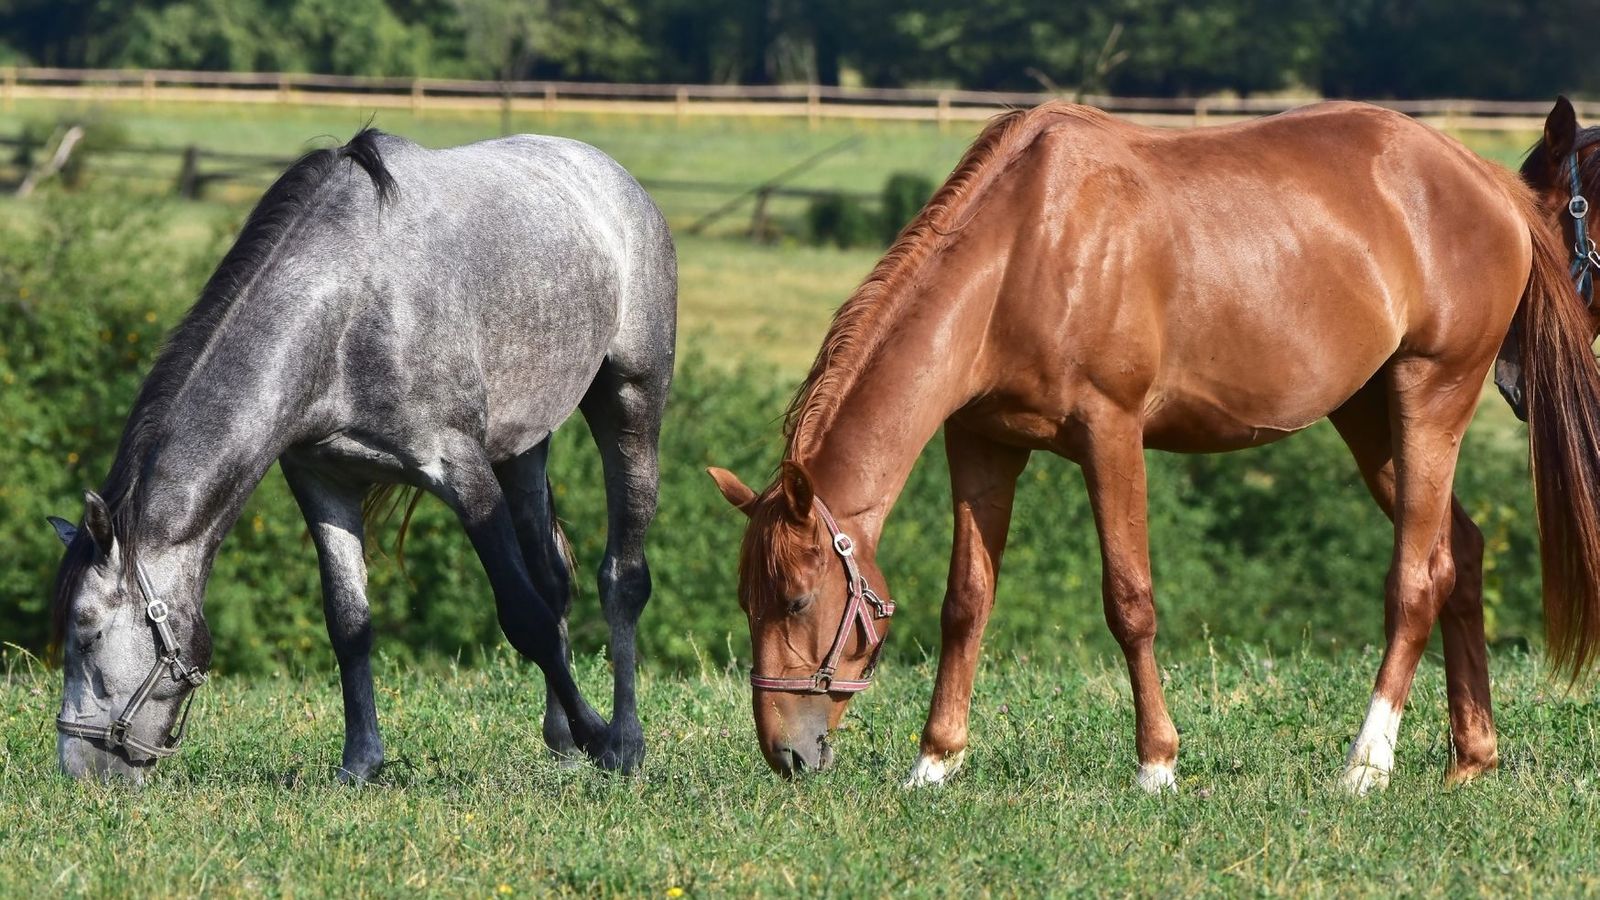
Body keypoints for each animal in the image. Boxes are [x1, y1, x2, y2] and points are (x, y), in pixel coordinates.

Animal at [48, 128, 677, 782]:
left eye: (86, 635)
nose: (79, 772)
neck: (346, 310)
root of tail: (611, 175)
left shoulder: (463, 472)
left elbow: (522, 617)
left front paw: (597, 735)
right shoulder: (321, 479)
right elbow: (349, 624)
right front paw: (360, 762)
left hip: (631, 400)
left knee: (621, 579)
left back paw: (623, 740)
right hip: (523, 447)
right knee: (553, 582)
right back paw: (560, 740)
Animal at [708, 97, 1600, 793]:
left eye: (796, 601)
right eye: (746, 601)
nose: (786, 754)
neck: (1022, 250)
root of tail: (1491, 186)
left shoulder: (1111, 434)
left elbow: (1129, 600)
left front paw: (1157, 764)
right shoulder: (982, 444)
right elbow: (967, 600)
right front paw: (934, 763)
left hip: (1430, 395)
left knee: (1416, 578)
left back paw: (1366, 763)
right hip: (1368, 415)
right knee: (1462, 554)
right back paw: (1470, 758)